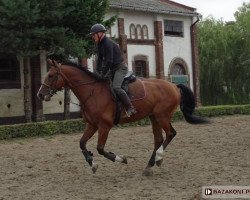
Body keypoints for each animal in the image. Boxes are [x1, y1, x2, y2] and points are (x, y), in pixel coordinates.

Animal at [37, 59, 208, 175]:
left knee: (171, 133)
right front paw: (92, 163)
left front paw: (120, 159)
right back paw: (149, 166)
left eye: (51, 75)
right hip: (154, 117)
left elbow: (100, 149)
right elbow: (82, 143)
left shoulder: (104, 126)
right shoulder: (92, 125)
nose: (40, 94)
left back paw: (159, 158)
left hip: (162, 116)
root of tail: (173, 85)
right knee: (159, 139)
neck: (92, 92)